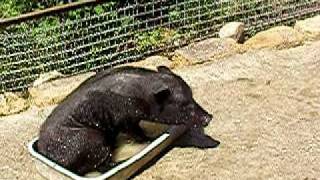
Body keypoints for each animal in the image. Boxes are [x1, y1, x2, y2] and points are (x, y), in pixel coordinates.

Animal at [37, 65, 218, 175]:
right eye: (184, 104)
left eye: (192, 96)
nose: (209, 117)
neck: (143, 96)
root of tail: (45, 152)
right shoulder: (125, 118)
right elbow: (136, 132)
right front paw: (148, 140)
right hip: (90, 140)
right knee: (101, 164)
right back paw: (122, 162)